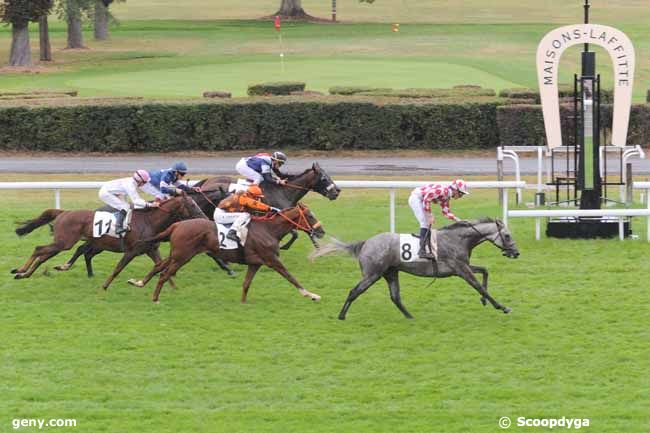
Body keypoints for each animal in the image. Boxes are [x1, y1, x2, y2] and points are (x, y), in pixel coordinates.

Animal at [12, 192, 205, 286]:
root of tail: (64, 212)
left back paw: (24, 274)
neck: (149, 221)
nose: (204, 218)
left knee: (44, 255)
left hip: (62, 243)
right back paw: (20, 270)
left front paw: (168, 286)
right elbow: (119, 268)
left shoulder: (150, 249)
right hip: (65, 242)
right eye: (192, 204)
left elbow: (159, 266)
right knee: (39, 249)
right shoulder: (132, 251)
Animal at [129, 203, 324, 302]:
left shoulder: (255, 263)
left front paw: (243, 302)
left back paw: (138, 282)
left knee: (159, 266)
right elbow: (291, 277)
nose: (321, 231)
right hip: (182, 256)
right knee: (164, 274)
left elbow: (246, 284)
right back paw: (155, 298)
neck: (269, 229)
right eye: (310, 216)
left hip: (176, 254)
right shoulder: (272, 260)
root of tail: (177, 224)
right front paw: (311, 295)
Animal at [312, 218, 520, 318]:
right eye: (507, 235)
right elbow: (478, 285)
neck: (458, 239)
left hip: (390, 273)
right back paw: (341, 316)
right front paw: (501, 307)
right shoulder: (461, 269)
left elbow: (485, 270)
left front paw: (484, 301)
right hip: (372, 274)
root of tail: (365, 243)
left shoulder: (462, 267)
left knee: (395, 297)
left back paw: (410, 317)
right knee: (354, 291)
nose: (516, 253)